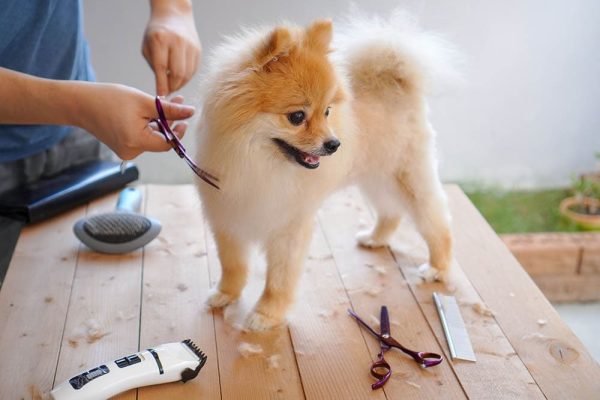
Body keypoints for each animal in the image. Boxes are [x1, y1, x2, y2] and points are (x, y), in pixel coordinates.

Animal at [196, 12, 454, 332]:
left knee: (437, 223)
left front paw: (266, 314)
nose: (334, 144)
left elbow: (278, 278)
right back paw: (376, 237)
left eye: (327, 111)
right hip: (376, 177)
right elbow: (233, 266)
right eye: (297, 116)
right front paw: (225, 294)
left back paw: (437, 267)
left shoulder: (289, 227)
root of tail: (397, 80)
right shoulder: (228, 215)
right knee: (391, 211)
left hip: (408, 176)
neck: (259, 163)